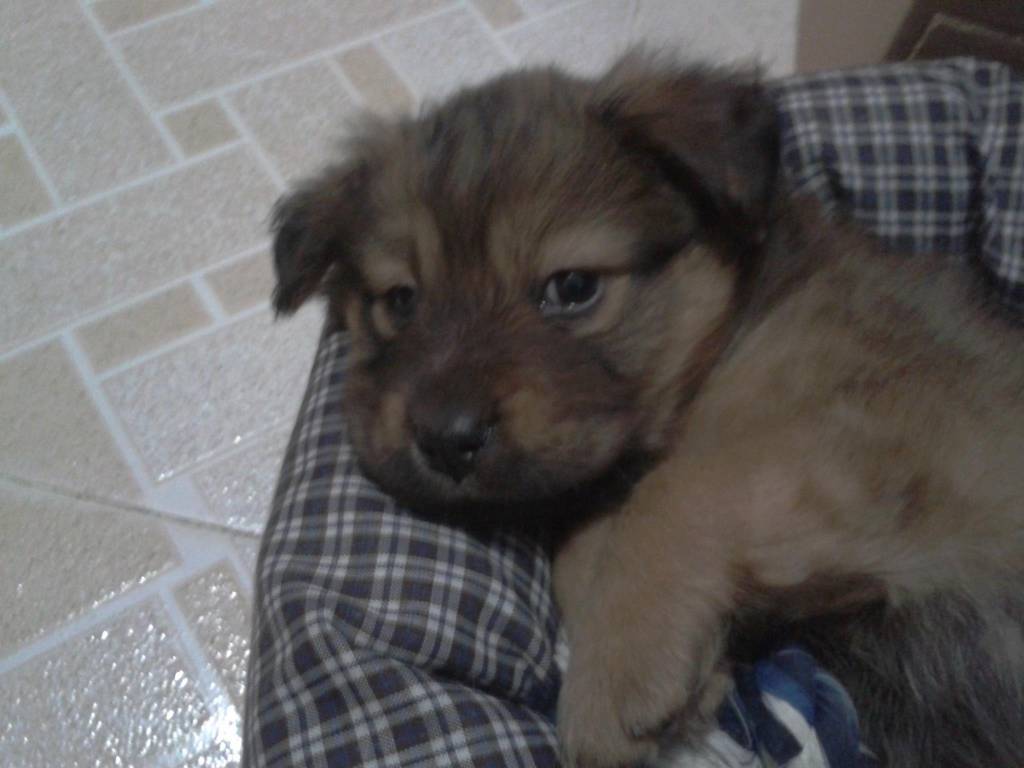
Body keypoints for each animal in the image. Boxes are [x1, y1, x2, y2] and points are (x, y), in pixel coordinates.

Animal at [270, 52, 1024, 767]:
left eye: (572, 287)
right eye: (400, 301)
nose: (445, 440)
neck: (732, 334)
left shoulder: (891, 434)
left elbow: (677, 492)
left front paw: (616, 676)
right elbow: (586, 546)